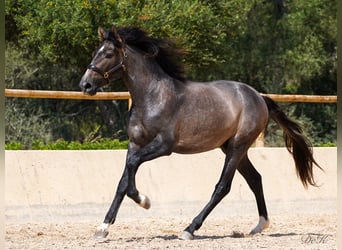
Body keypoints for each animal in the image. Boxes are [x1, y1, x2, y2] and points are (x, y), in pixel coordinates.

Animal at [79, 26, 322, 239]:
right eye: (94, 52)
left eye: (108, 54)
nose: (85, 85)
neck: (152, 96)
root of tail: (258, 97)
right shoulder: (135, 144)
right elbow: (123, 181)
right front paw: (102, 228)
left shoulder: (163, 146)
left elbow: (132, 169)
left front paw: (144, 200)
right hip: (231, 147)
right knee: (255, 179)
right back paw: (259, 226)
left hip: (237, 146)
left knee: (223, 187)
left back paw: (189, 229)